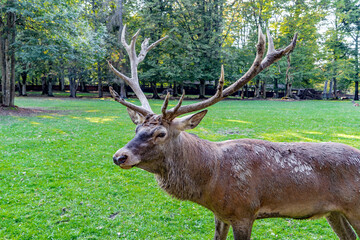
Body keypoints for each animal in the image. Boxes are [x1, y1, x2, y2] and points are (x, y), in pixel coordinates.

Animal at [108, 25, 360, 239]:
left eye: (161, 133)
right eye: (137, 128)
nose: (119, 156)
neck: (211, 181)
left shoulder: (244, 212)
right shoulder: (221, 215)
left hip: (355, 207)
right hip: (334, 212)